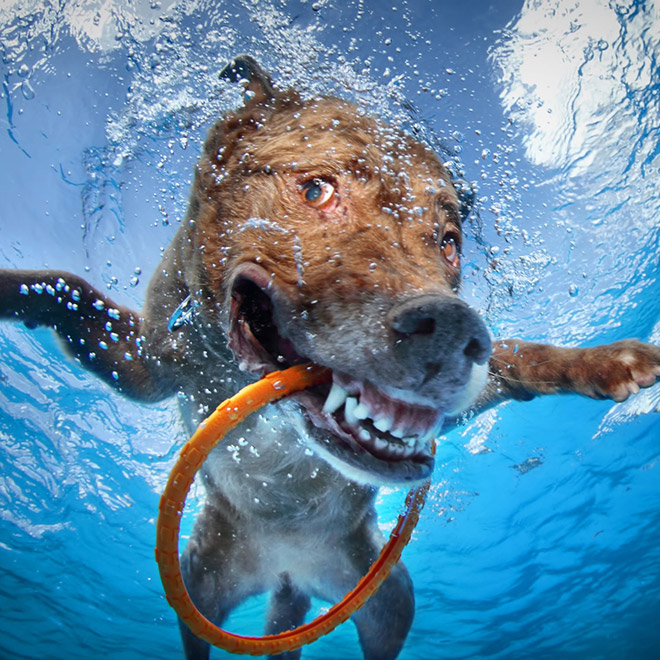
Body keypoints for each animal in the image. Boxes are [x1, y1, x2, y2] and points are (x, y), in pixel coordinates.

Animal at [1, 56, 660, 660]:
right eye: (316, 189)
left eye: (449, 242)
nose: (453, 330)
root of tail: (288, 571)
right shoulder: (151, 366)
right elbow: (69, 286)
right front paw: (18, 290)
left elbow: (520, 355)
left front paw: (609, 361)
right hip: (197, 581)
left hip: (389, 599)